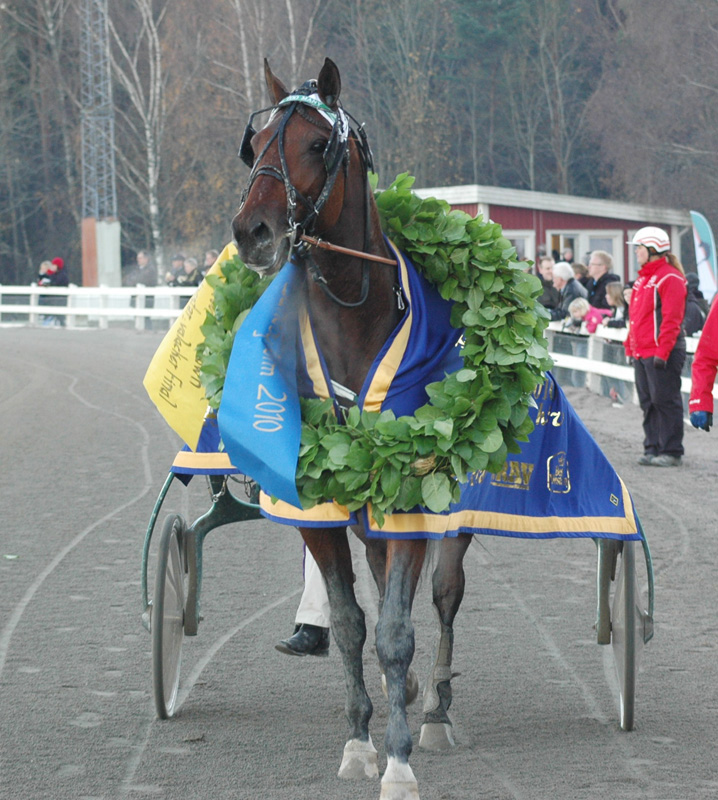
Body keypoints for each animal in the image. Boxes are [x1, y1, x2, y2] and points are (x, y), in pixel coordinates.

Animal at [232, 57, 472, 800]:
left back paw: (436, 710)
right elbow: (347, 624)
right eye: (256, 144)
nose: (252, 231)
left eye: (316, 144)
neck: (354, 317)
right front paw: (360, 742)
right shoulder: (320, 500)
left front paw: (397, 760)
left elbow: (396, 631)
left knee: (446, 596)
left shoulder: (414, 495)